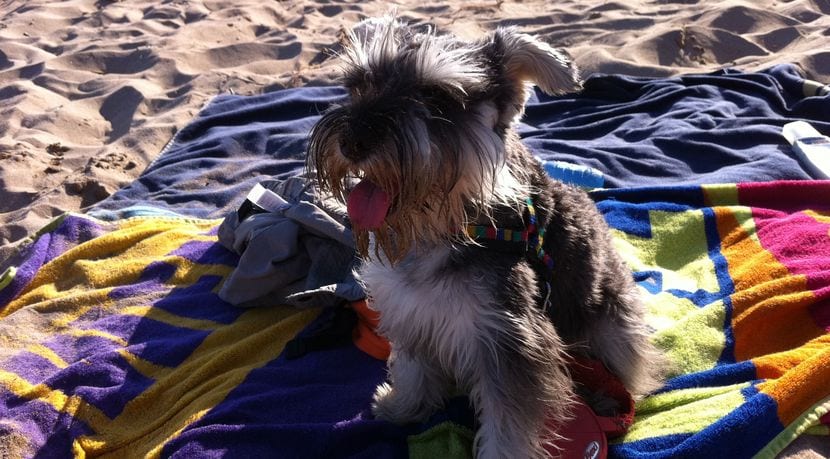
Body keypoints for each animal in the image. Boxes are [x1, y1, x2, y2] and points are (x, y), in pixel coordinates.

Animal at [308, 16, 668, 458]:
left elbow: (508, 422)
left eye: (436, 96)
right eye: (358, 83)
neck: (446, 224)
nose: (352, 141)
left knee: (629, 371)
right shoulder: (408, 311)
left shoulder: (510, 340)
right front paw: (403, 406)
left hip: (613, 325)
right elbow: (413, 368)